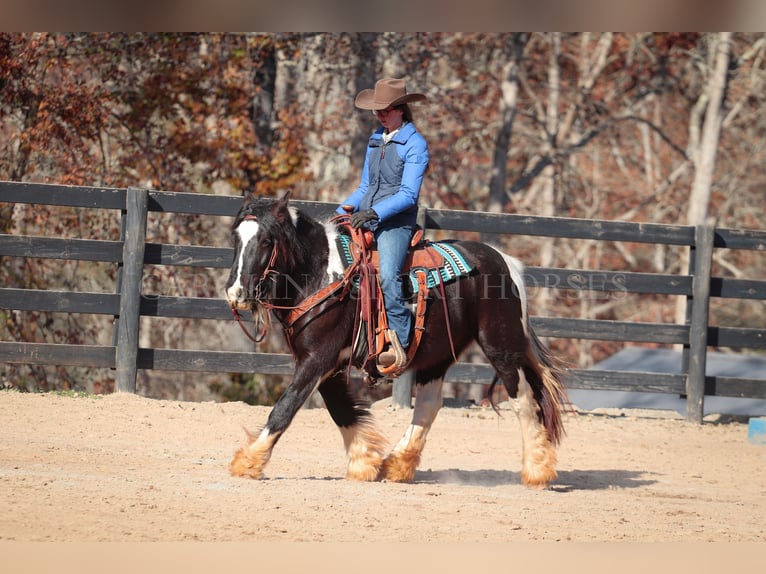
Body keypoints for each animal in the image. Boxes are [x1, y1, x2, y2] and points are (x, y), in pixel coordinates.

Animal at [224, 191, 568, 488]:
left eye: (267, 240)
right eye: (235, 238)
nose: (236, 292)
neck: (322, 274)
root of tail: (505, 262)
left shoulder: (318, 358)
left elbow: (286, 406)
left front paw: (248, 462)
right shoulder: (325, 363)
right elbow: (341, 410)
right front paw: (364, 462)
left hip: (500, 345)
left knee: (523, 399)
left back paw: (537, 470)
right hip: (438, 355)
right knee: (428, 405)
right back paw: (398, 464)